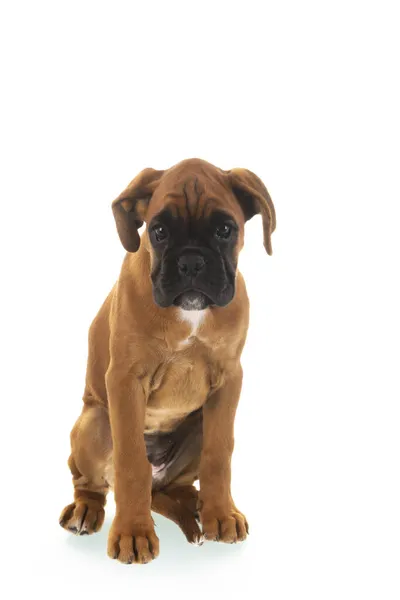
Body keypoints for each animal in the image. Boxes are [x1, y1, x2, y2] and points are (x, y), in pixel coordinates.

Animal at [59, 158, 276, 564]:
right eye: (158, 231)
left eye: (225, 229)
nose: (191, 261)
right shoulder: (126, 380)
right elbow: (131, 463)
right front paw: (132, 532)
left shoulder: (228, 380)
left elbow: (219, 454)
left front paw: (221, 513)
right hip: (94, 423)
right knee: (95, 482)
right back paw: (86, 509)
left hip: (196, 425)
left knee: (169, 487)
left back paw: (196, 505)